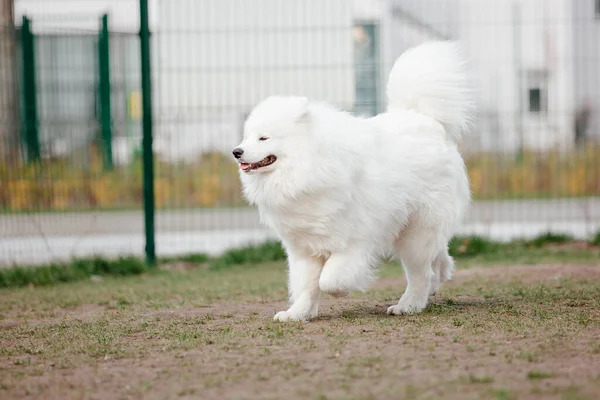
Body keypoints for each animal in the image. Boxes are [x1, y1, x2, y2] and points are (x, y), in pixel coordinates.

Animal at [232, 40, 476, 322]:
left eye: (264, 138)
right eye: (246, 136)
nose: (236, 151)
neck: (308, 169)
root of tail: (425, 119)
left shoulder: (352, 242)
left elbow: (328, 280)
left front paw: (340, 292)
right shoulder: (303, 248)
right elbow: (306, 286)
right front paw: (297, 313)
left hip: (416, 232)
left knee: (419, 273)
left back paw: (408, 305)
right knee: (437, 257)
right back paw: (439, 278)